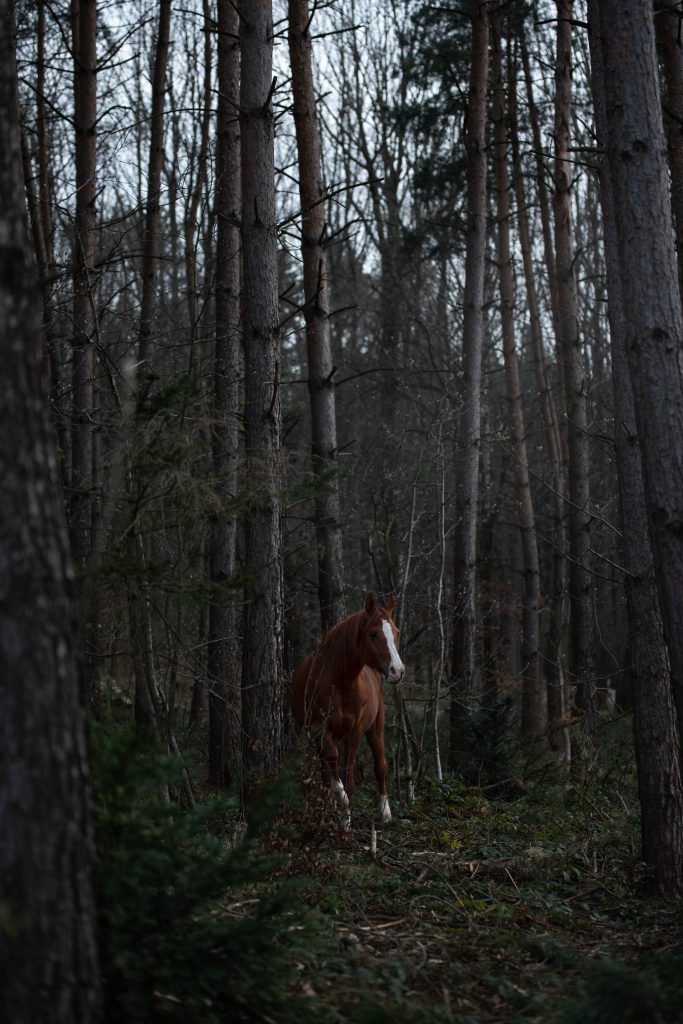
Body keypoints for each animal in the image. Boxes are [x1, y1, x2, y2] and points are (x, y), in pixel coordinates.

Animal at [292, 593, 405, 831]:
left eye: (397, 633)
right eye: (373, 634)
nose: (397, 671)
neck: (340, 682)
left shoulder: (354, 733)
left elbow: (349, 776)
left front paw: (346, 820)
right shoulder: (318, 730)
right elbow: (332, 761)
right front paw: (340, 800)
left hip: (376, 729)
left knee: (381, 766)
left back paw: (385, 813)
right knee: (326, 770)